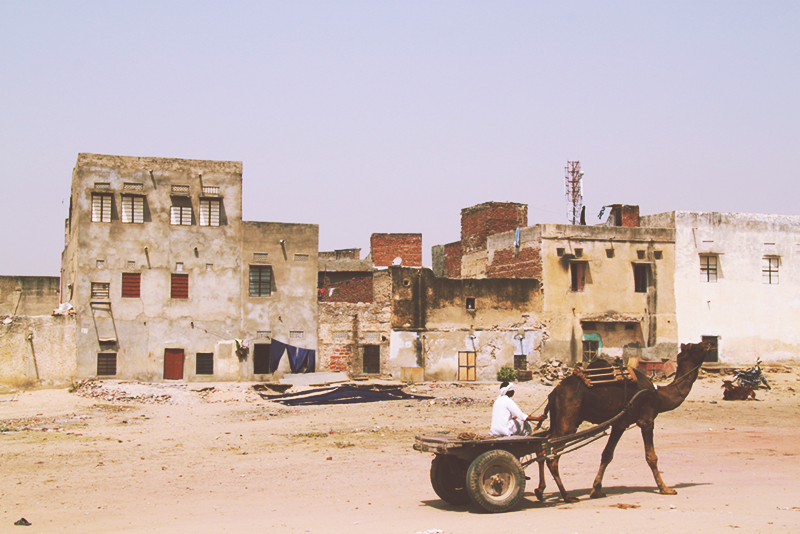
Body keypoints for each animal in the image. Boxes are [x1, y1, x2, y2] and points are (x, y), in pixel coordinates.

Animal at [536, 344, 708, 502]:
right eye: (697, 347)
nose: (709, 344)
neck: (659, 395)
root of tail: (555, 392)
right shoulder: (647, 419)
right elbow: (651, 457)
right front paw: (665, 488)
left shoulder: (620, 424)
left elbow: (607, 455)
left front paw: (597, 490)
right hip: (568, 420)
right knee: (552, 457)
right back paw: (567, 496)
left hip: (558, 420)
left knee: (542, 448)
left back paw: (540, 491)